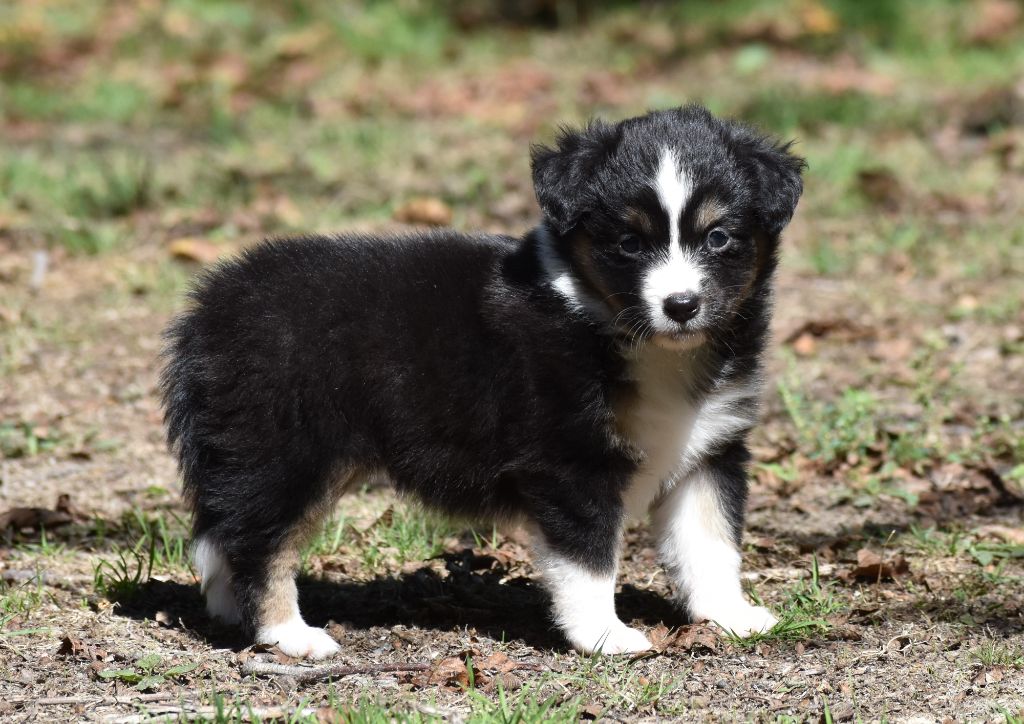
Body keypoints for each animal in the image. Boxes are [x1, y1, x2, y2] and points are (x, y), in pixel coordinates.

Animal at [161, 104, 804, 659]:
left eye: (718, 237)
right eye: (629, 242)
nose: (681, 305)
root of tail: (208, 309)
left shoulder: (707, 450)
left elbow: (711, 544)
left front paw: (732, 617)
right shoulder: (571, 460)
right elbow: (591, 560)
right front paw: (605, 636)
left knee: (226, 534)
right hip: (288, 450)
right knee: (260, 543)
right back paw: (289, 635)